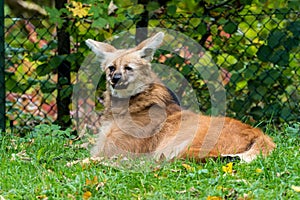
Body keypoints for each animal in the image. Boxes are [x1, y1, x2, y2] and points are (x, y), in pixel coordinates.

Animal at [85, 31, 276, 162]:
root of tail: (260, 134)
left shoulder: (114, 152)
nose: (115, 79)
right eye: (111, 68)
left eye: (128, 68)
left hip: (180, 146)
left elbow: (83, 160)